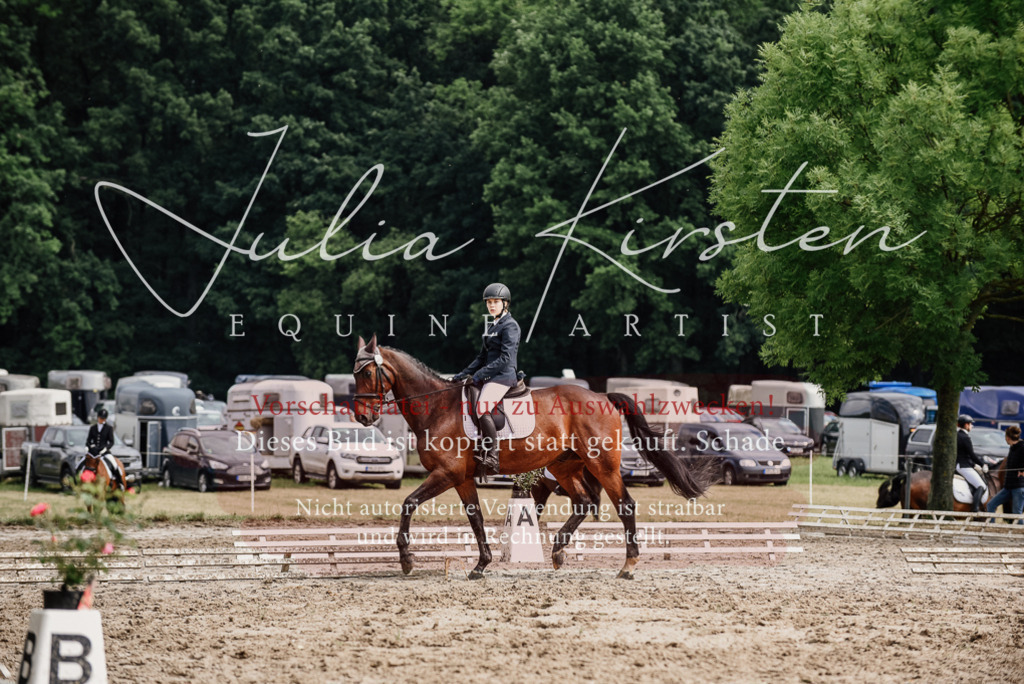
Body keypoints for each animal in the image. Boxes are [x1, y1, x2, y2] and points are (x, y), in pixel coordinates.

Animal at [352, 335, 713, 579]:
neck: (438, 408)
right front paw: (481, 565)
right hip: (564, 465)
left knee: (624, 505)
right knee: (583, 502)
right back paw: (558, 552)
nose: (363, 417)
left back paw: (628, 565)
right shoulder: (462, 478)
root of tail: (601, 396)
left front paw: (406, 560)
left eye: (367, 374)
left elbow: (408, 503)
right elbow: (475, 519)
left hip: (602, 464)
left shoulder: (446, 474)